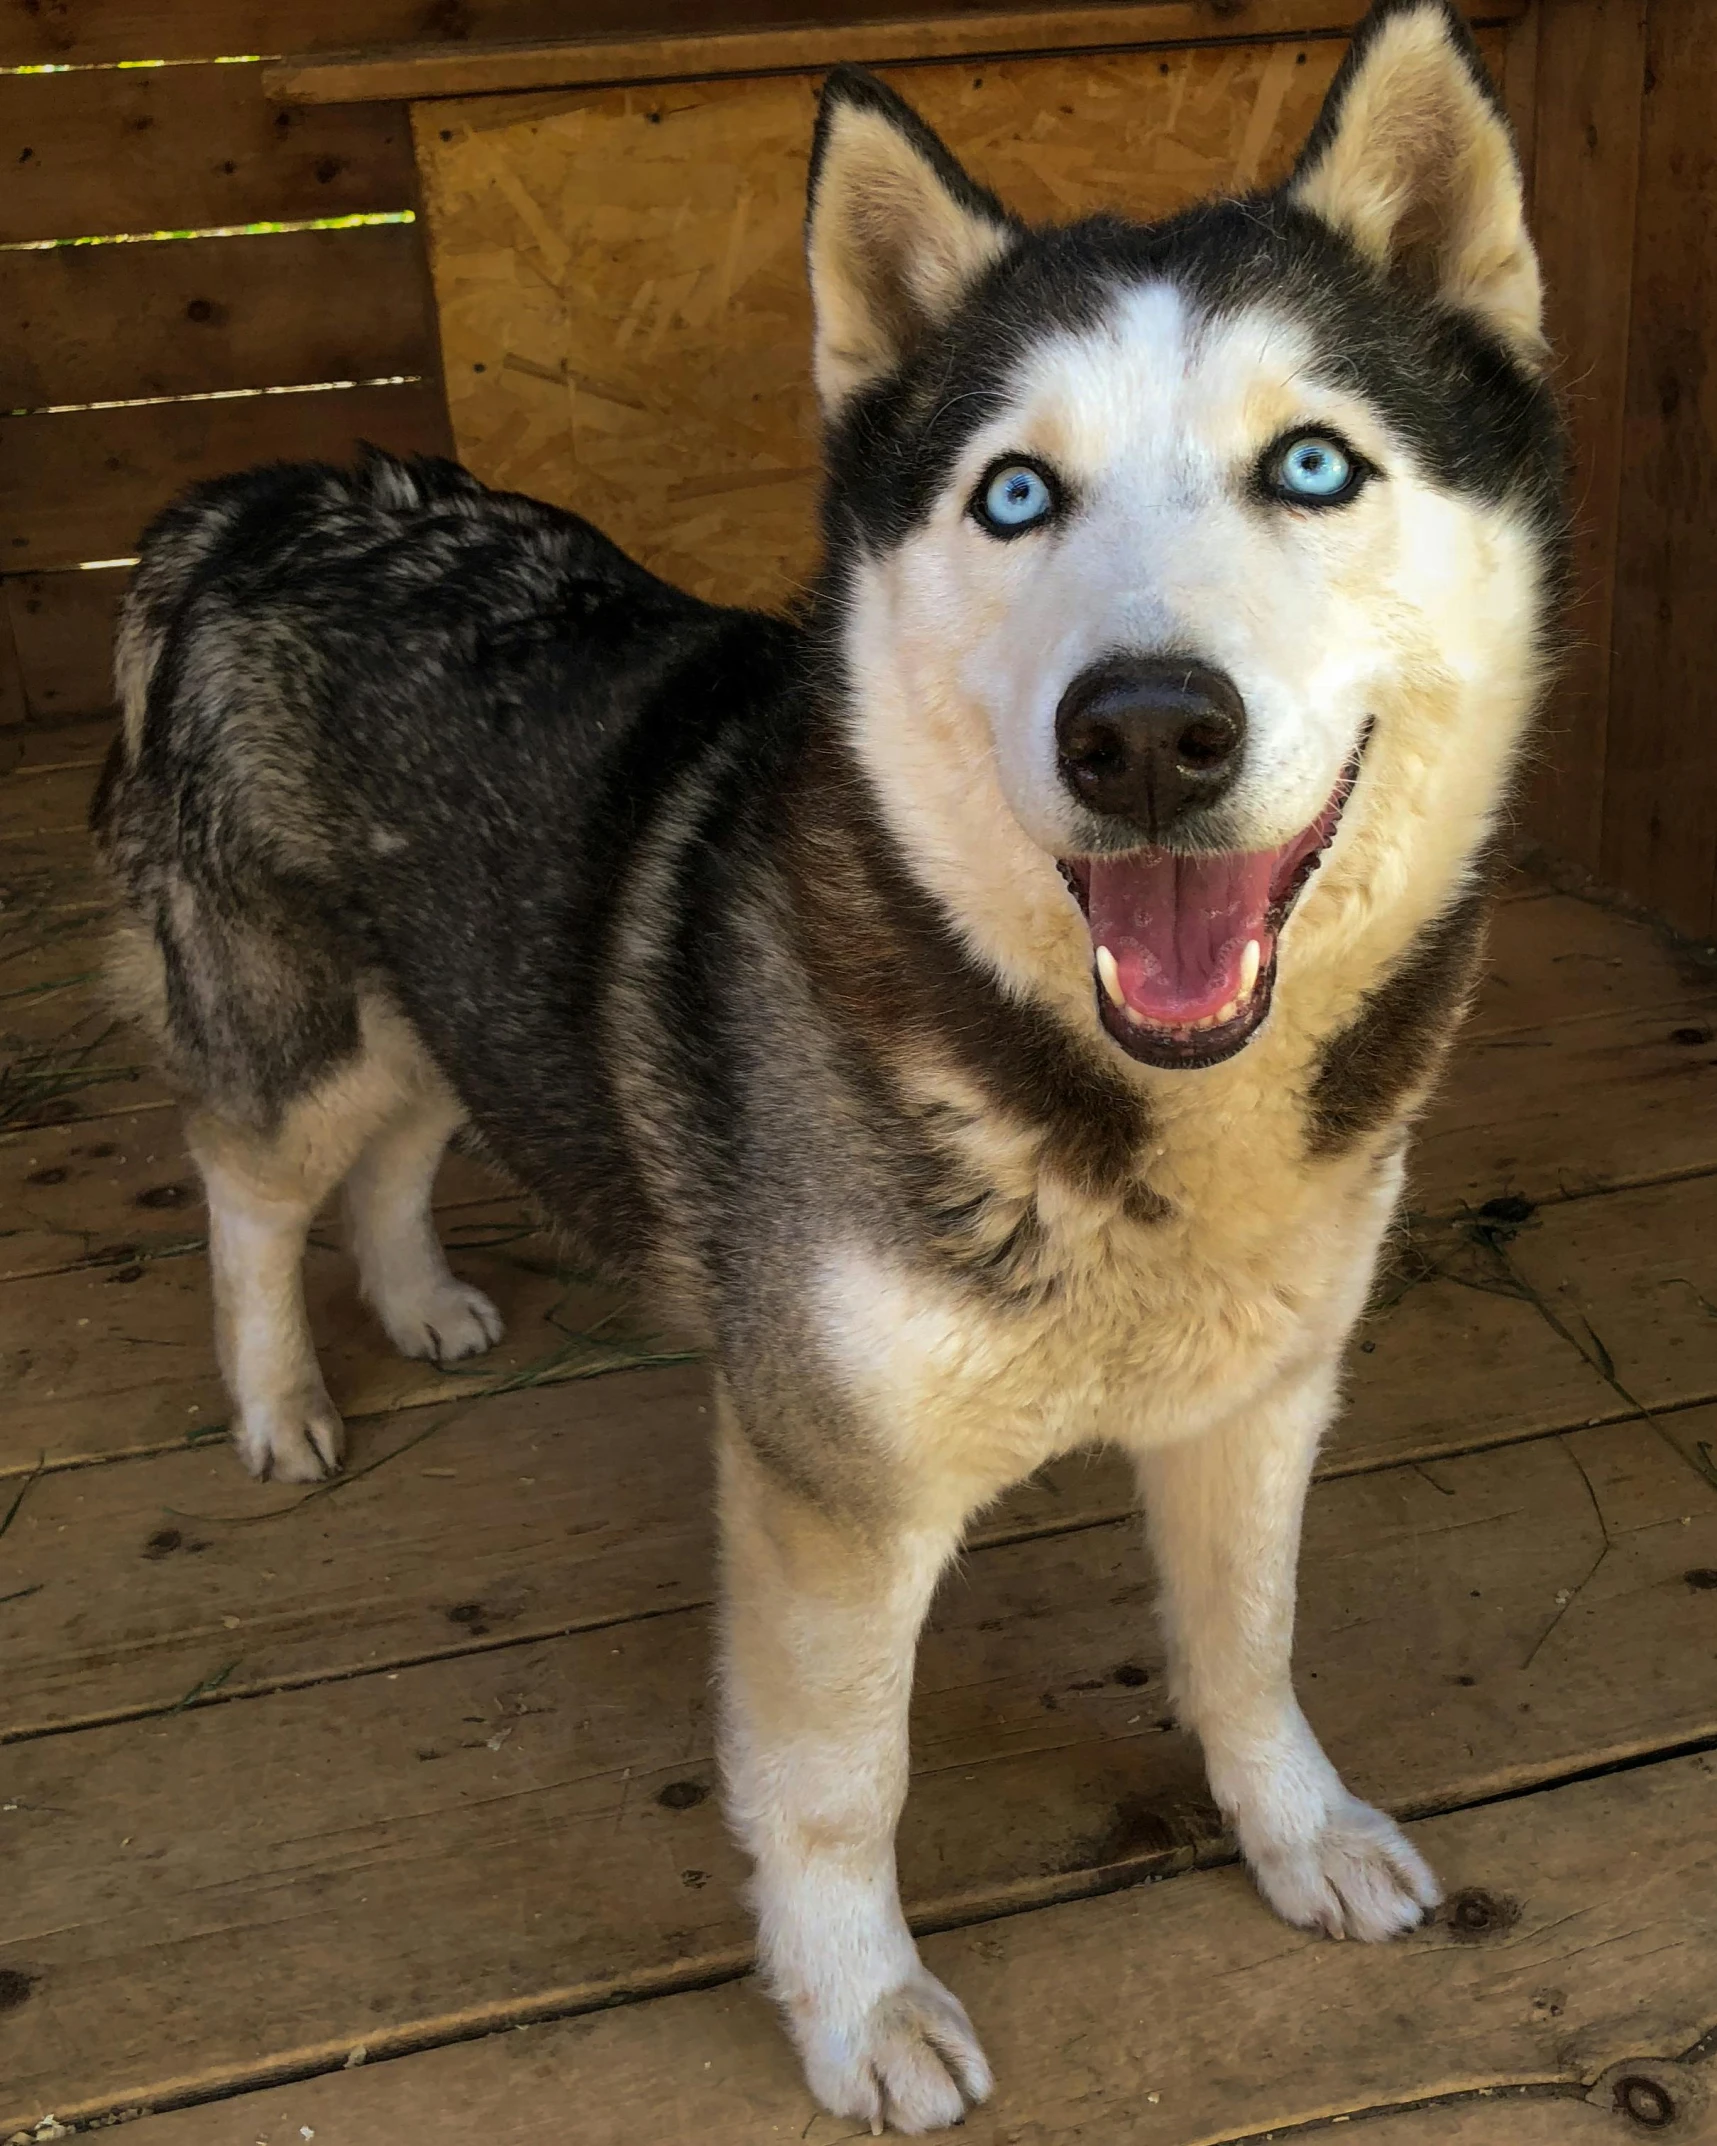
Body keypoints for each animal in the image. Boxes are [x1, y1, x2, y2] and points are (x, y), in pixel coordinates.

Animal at [97, 4, 1571, 2128]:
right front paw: (856, 2005)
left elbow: (1246, 1643)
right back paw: (283, 1394)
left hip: (468, 985)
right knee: (246, 1179)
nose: (1146, 732)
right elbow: (831, 1781)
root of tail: (270, 493)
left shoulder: (1260, 1400)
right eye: (1014, 495)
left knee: (404, 1144)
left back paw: (424, 1300)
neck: (1114, 1105)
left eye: (1313, 466)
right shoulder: (829, 1489)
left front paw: (1291, 1828)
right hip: (296, 1025)